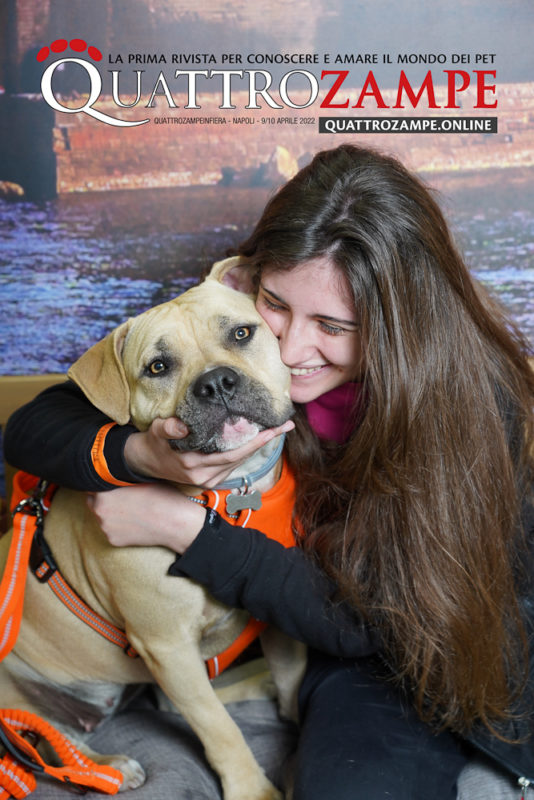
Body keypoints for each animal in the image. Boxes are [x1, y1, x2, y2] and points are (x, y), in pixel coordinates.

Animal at [0, 258, 308, 800]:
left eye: (242, 333)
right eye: (158, 368)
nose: (217, 383)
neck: (230, 493)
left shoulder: (276, 621)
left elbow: (291, 679)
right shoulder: (168, 648)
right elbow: (218, 728)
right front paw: (253, 789)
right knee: (37, 739)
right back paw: (110, 767)